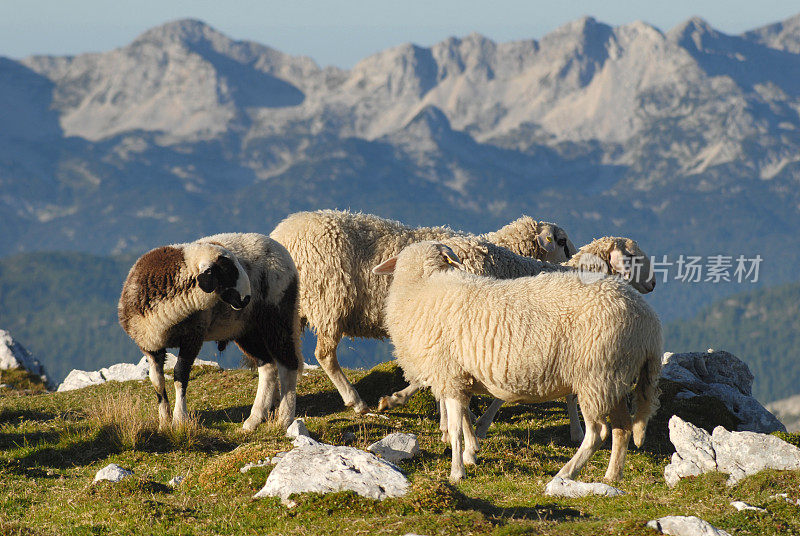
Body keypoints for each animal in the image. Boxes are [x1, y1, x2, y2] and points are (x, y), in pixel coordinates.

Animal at [119, 233, 304, 432]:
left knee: (288, 364)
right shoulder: (149, 345)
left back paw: (284, 419)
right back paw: (254, 419)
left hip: (277, 316)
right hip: (246, 330)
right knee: (268, 366)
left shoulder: (193, 336)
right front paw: (164, 422)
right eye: (228, 270)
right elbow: (157, 382)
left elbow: (180, 375)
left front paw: (179, 419)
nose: (247, 298)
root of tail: (281, 249)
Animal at [376, 243, 664, 482]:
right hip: (615, 377)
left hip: (595, 375)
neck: (420, 286)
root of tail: (648, 322)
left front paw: (457, 471)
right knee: (622, 428)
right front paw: (471, 453)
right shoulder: (458, 376)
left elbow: (457, 427)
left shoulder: (449, 374)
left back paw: (566, 473)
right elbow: (465, 419)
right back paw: (612, 476)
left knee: (597, 433)